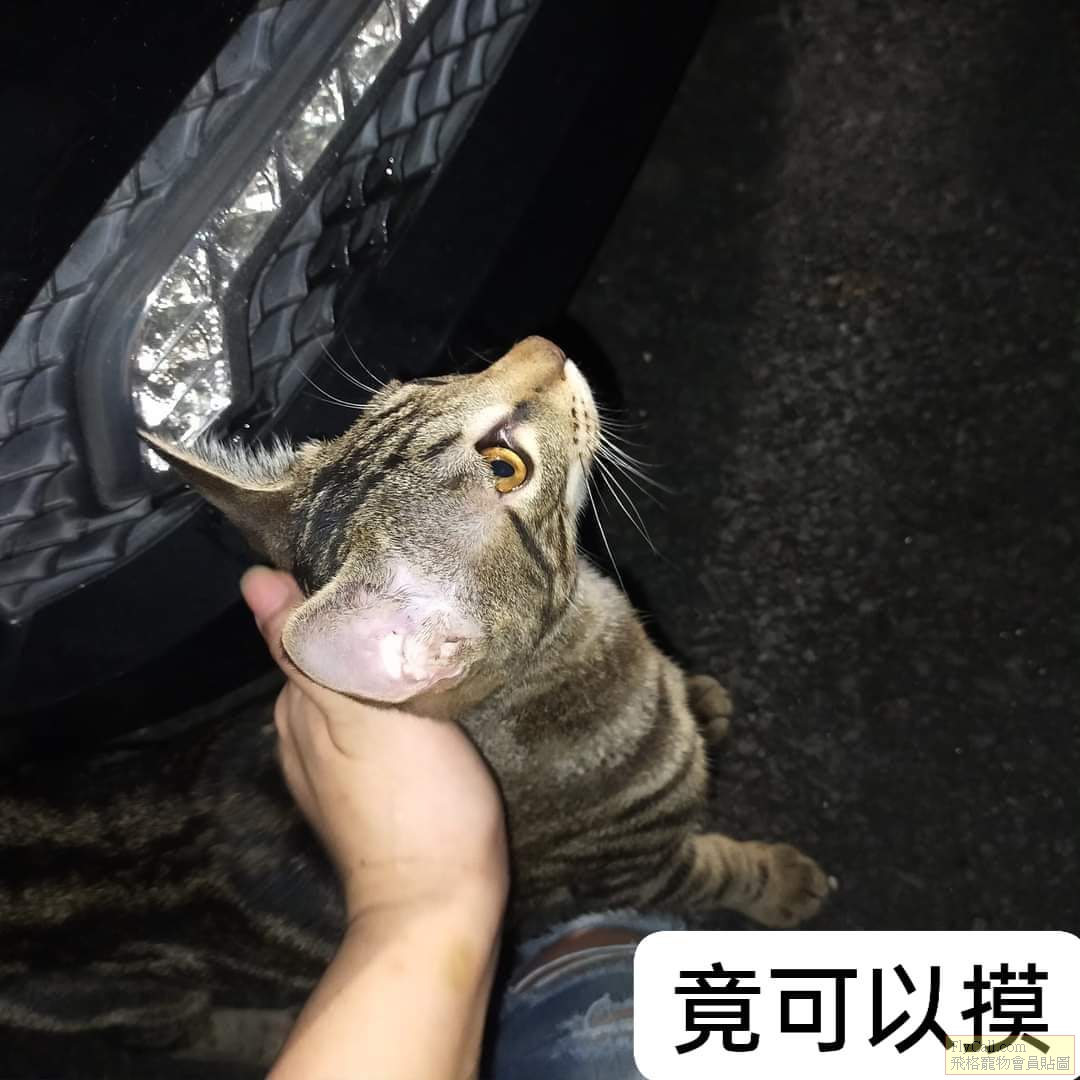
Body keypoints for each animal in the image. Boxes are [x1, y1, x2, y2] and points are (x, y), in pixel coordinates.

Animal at [0, 335, 831, 1056]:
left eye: (429, 379)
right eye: (504, 467)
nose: (545, 342)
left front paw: (703, 702)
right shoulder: (635, 868)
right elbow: (722, 868)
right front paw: (785, 883)